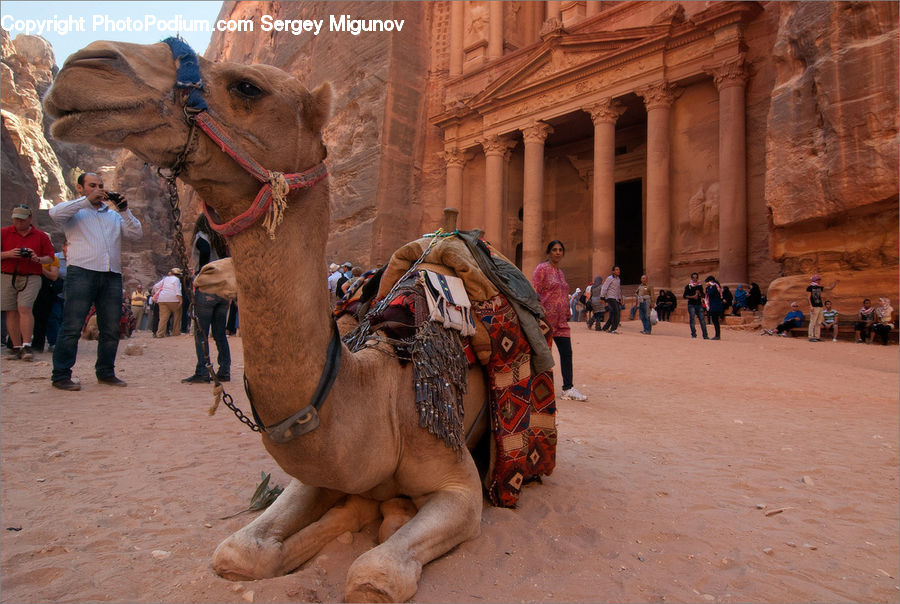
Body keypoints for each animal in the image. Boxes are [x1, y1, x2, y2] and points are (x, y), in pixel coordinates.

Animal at [43, 40, 495, 602]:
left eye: (247, 87)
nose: (87, 64)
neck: (382, 394)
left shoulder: (461, 488)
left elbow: (374, 575)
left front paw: (375, 520)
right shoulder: (318, 474)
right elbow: (237, 552)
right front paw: (349, 512)